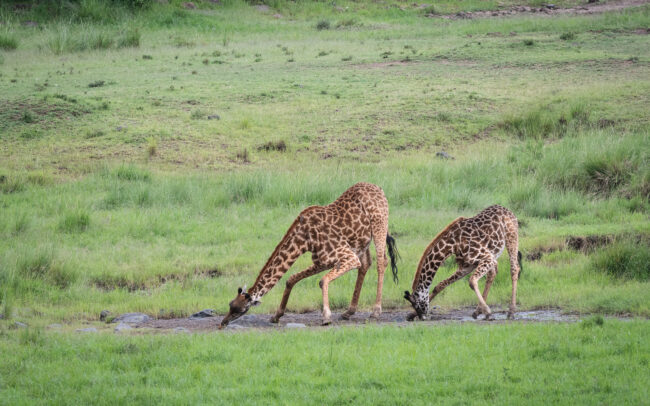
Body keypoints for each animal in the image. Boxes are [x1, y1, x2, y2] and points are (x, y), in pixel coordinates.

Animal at [219, 182, 400, 328]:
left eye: (239, 310)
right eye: (230, 304)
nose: (222, 323)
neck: (305, 239)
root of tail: (379, 189)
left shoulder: (347, 257)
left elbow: (322, 281)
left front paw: (326, 317)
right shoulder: (322, 261)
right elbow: (291, 279)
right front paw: (276, 316)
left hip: (379, 225)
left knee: (381, 262)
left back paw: (375, 311)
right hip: (362, 241)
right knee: (366, 264)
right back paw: (349, 312)